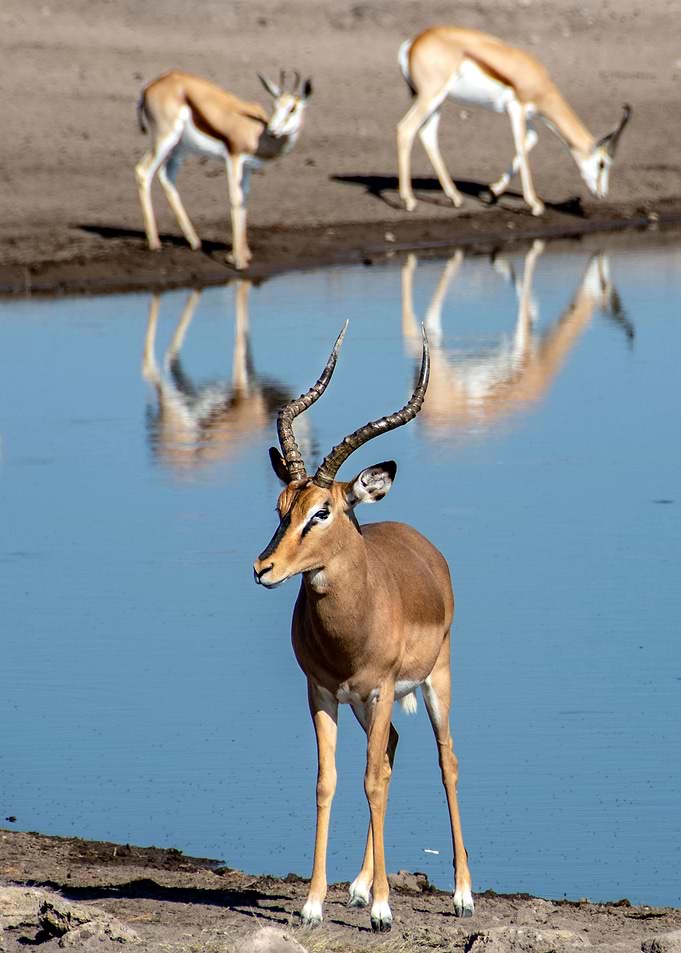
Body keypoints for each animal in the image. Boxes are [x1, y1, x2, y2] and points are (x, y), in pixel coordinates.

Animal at [135, 69, 312, 270]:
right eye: (275, 105)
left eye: (292, 108)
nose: (272, 130)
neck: (258, 136)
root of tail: (150, 86)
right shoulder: (233, 158)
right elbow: (235, 199)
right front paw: (239, 261)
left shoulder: (248, 167)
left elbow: (245, 200)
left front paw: (241, 254)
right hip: (164, 140)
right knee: (143, 171)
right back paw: (155, 243)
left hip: (180, 148)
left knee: (166, 176)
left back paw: (194, 241)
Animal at [253, 326, 474, 931]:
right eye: (282, 505)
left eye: (322, 511)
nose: (263, 568)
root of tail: (422, 543)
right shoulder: (323, 692)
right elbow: (329, 781)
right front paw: (313, 905)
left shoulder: (381, 687)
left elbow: (372, 780)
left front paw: (382, 910)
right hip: (365, 705)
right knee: (391, 749)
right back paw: (356, 886)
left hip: (435, 683)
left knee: (446, 761)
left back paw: (461, 895)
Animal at [397, 27, 631, 216]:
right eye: (602, 164)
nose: (602, 194)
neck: (537, 80)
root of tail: (412, 43)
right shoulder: (516, 109)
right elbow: (520, 145)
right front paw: (535, 205)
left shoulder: (528, 116)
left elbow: (531, 140)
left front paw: (492, 193)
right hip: (430, 96)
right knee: (405, 129)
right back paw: (409, 200)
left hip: (438, 101)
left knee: (427, 135)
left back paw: (454, 197)